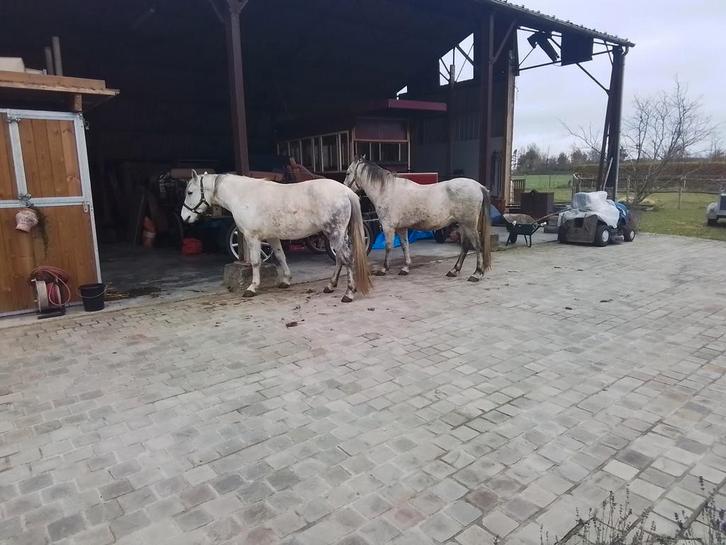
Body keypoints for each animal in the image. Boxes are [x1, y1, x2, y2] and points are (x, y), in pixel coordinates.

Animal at [180, 171, 371, 302]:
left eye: (190, 192)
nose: (184, 217)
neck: (243, 195)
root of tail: (346, 191)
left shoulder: (252, 237)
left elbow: (255, 262)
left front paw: (252, 288)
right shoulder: (272, 237)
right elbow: (281, 256)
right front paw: (285, 280)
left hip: (335, 233)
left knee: (347, 258)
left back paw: (348, 293)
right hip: (337, 234)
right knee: (340, 258)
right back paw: (330, 286)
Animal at [343, 158, 492, 281]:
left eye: (348, 173)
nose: (345, 191)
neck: (386, 191)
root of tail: (479, 186)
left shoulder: (388, 227)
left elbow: (388, 247)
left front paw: (384, 269)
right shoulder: (401, 228)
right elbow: (405, 246)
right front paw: (405, 268)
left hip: (469, 225)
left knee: (477, 246)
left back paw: (476, 274)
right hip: (463, 225)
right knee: (465, 246)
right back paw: (454, 271)